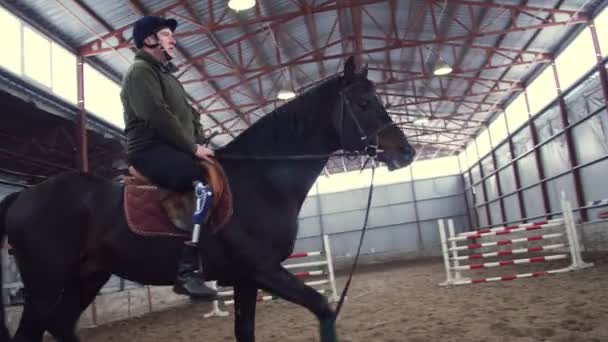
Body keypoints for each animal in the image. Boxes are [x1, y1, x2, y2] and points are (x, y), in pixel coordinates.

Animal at [0, 56, 416, 342]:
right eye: (363, 103)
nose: (407, 153)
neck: (261, 180)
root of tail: (24, 196)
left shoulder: (247, 279)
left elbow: (246, 332)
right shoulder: (264, 270)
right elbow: (324, 308)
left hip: (88, 276)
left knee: (60, 323)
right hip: (44, 284)